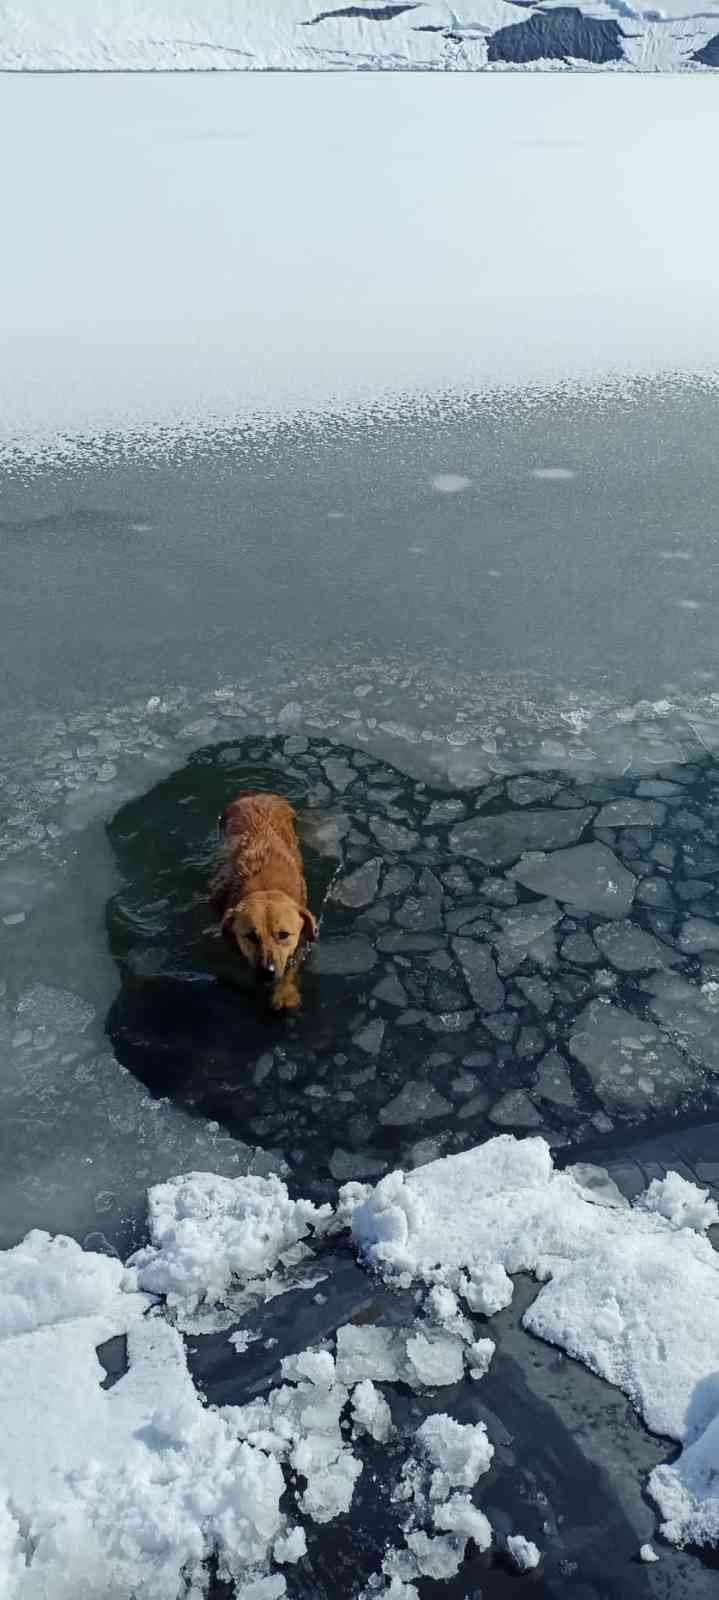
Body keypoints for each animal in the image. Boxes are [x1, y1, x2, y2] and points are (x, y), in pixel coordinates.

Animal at [209, 790, 317, 1011]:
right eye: (250, 935)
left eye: (284, 934)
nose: (267, 971)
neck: (264, 885)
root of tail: (255, 794)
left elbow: (294, 961)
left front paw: (285, 993)